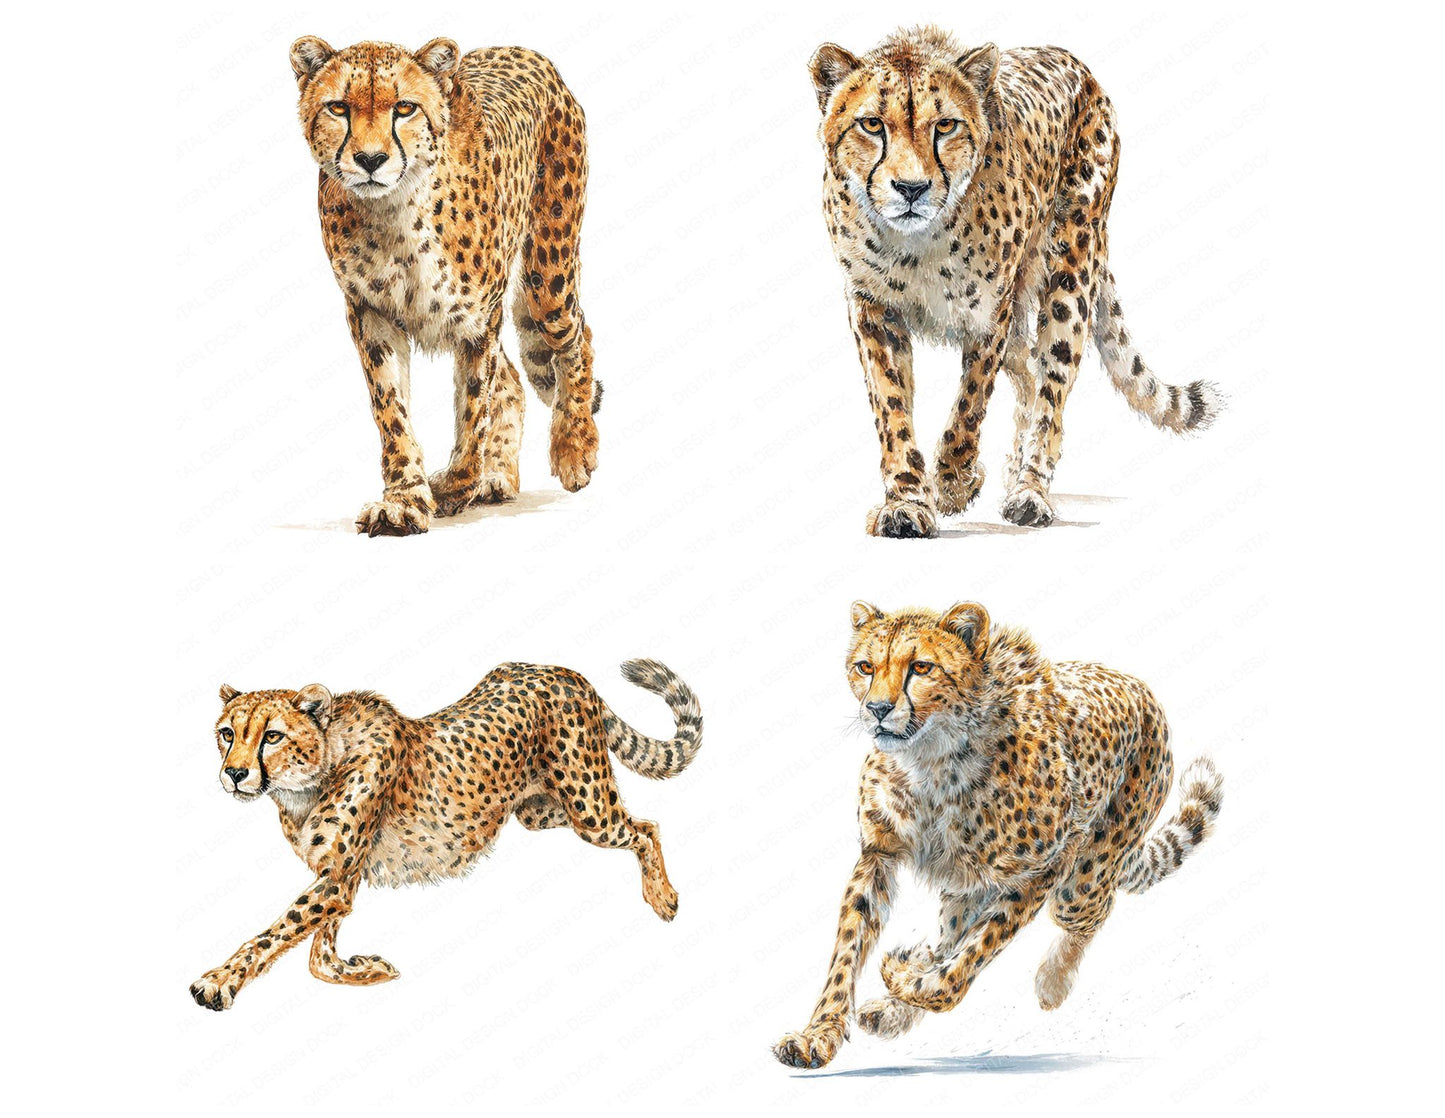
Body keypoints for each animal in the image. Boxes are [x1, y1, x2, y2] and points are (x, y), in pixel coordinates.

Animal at [188, 659, 701, 1011]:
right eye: (227, 733)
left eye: (272, 736)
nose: (234, 773)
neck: (310, 779)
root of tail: (563, 671)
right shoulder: (340, 877)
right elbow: (319, 955)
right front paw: (366, 970)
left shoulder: (335, 880)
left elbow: (274, 934)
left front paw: (218, 982)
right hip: (538, 810)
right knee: (637, 823)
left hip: (589, 808)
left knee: (646, 828)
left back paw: (663, 898)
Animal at [290, 37, 602, 536]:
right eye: (338, 107)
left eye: (404, 108)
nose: (371, 160)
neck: (394, 213)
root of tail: (524, 50)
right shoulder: (370, 312)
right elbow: (391, 409)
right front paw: (404, 500)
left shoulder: (479, 321)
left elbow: (472, 408)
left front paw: (454, 487)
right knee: (513, 378)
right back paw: (498, 478)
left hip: (547, 274)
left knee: (575, 336)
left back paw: (574, 448)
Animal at [773, 601, 1222, 1069]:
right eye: (865, 666)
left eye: (921, 667)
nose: (877, 708)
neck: (931, 759)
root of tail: (1140, 687)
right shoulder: (879, 853)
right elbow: (848, 949)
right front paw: (818, 1034)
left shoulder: (1041, 870)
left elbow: (964, 965)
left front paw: (904, 972)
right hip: (966, 885)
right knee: (949, 935)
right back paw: (895, 1007)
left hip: (1081, 879)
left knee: (1095, 912)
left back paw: (1051, 982)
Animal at [808, 26, 1221, 537]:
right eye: (871, 125)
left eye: (945, 126)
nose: (911, 189)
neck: (916, 244)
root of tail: (1077, 64)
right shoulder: (873, 308)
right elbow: (892, 408)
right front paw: (907, 501)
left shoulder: (990, 314)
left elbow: (969, 405)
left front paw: (953, 484)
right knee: (1026, 371)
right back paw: (1009, 472)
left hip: (1071, 273)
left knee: (1050, 388)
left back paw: (1029, 492)